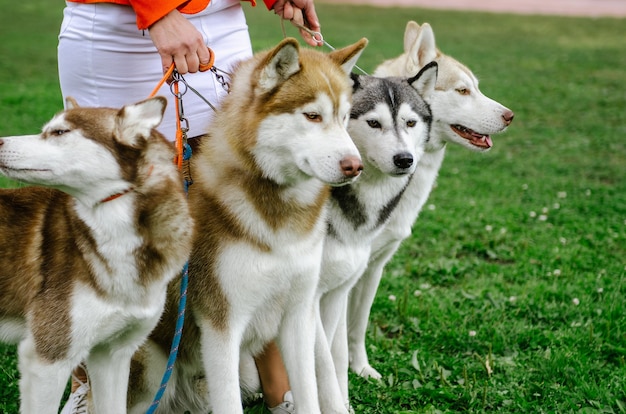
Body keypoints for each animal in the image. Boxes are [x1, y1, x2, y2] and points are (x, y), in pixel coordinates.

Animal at [129, 36, 368, 414]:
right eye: (312, 116)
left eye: (345, 118)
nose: (355, 166)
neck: (281, 216)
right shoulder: (222, 327)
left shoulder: (299, 315)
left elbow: (309, 390)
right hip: (150, 366)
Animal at [346, 21, 512, 380]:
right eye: (462, 91)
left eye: (476, 88)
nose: (510, 116)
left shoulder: (372, 267)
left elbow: (355, 327)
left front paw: (360, 369)